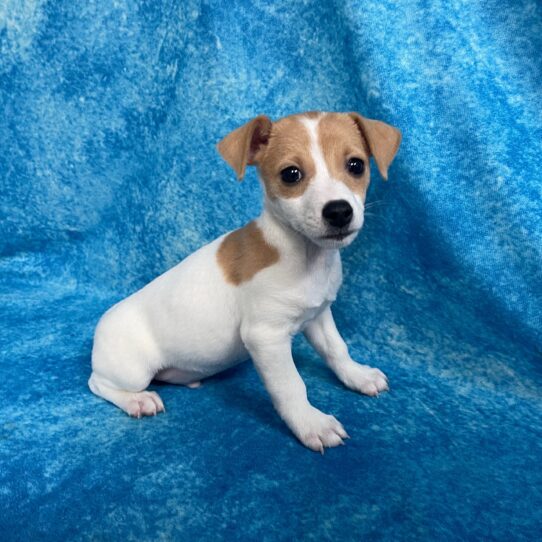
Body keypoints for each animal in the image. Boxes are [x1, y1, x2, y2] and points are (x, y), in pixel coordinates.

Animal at [90, 111, 404, 454]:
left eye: (356, 165)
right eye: (291, 174)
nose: (338, 211)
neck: (304, 256)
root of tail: (99, 331)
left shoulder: (318, 317)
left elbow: (337, 349)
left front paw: (357, 376)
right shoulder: (265, 338)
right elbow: (291, 385)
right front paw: (311, 424)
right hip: (132, 370)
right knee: (98, 384)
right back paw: (138, 401)